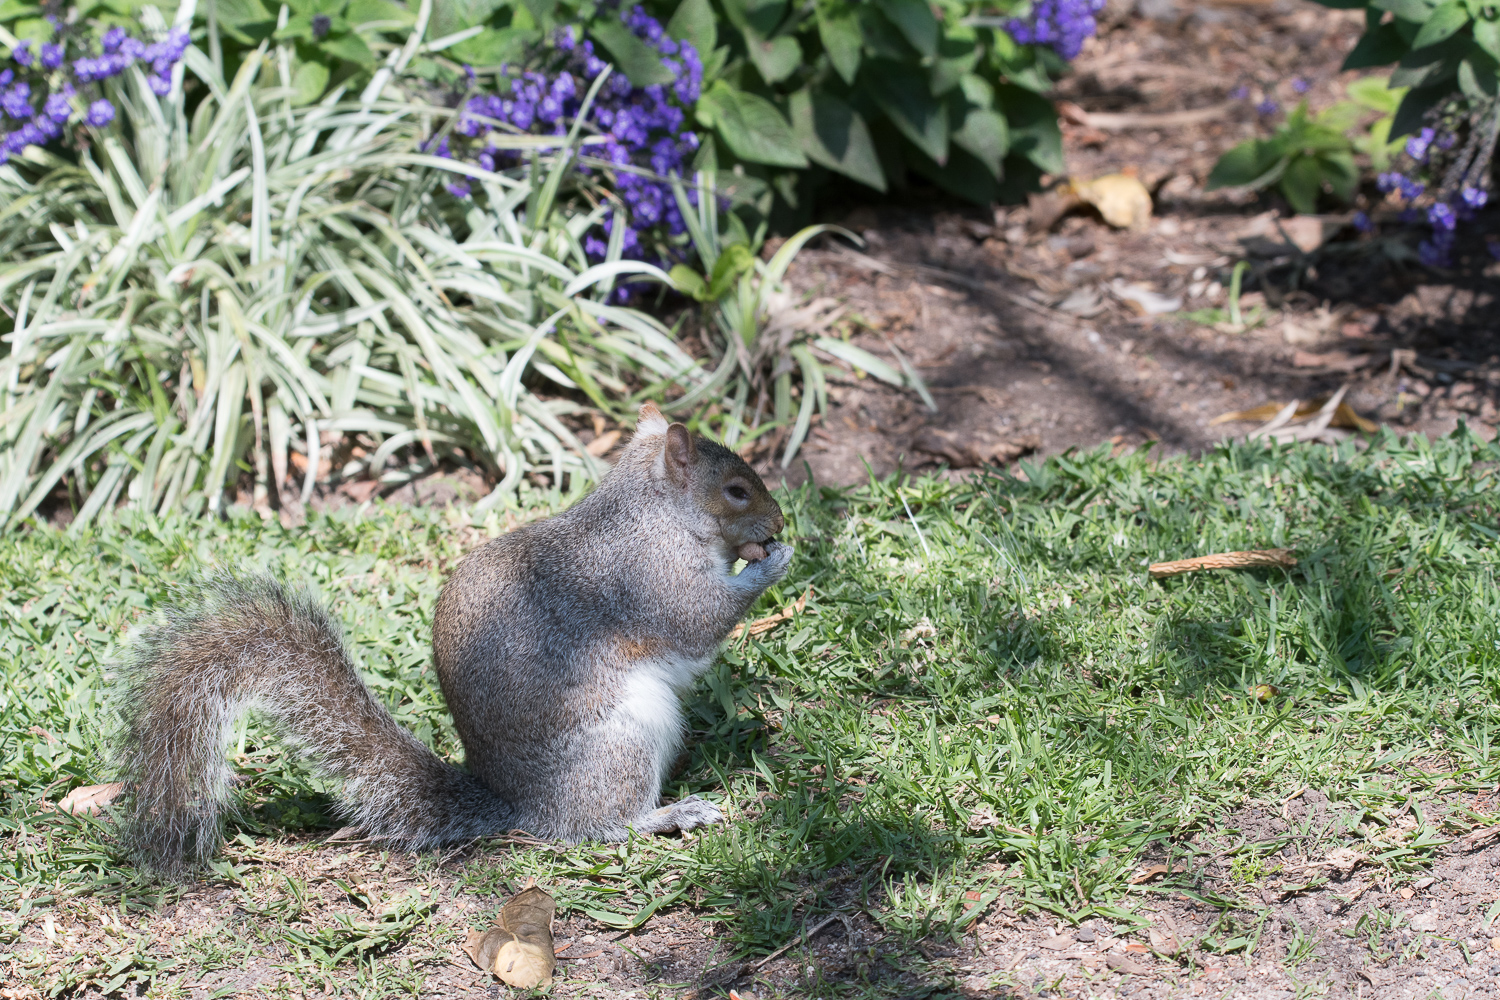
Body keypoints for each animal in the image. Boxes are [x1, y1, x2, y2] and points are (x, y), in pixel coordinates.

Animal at [109, 401, 792, 869]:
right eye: (735, 491)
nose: (780, 521)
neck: (655, 513)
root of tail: (518, 803)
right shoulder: (647, 576)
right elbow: (696, 620)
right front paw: (774, 563)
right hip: (620, 741)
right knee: (595, 827)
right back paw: (668, 815)